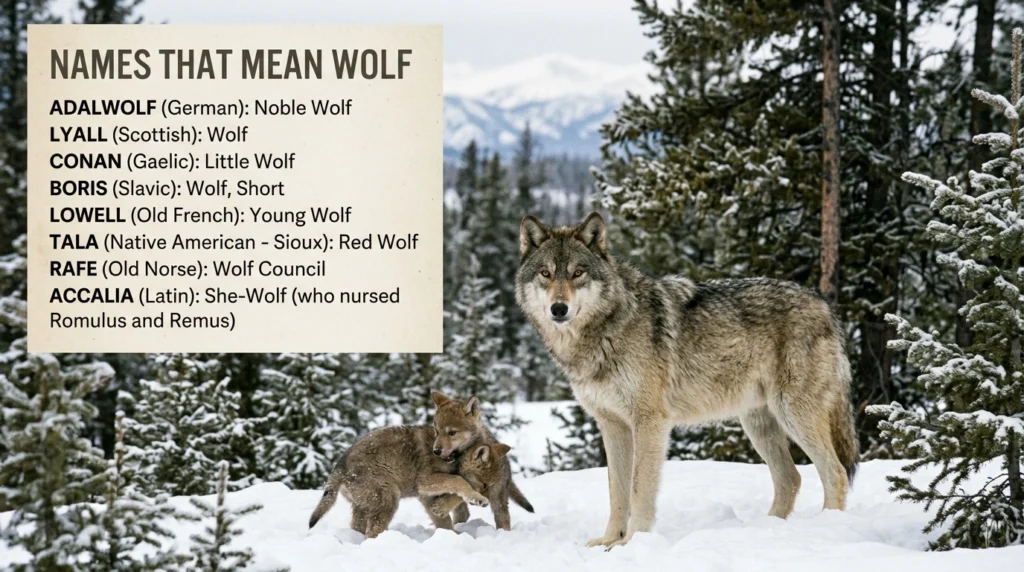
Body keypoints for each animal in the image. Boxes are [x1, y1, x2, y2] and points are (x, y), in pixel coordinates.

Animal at [515, 212, 858, 549]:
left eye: (578, 273)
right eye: (545, 273)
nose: (559, 308)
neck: (604, 331)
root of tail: (825, 306)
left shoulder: (649, 421)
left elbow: (639, 489)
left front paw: (633, 543)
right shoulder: (612, 424)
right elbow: (617, 492)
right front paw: (609, 541)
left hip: (793, 415)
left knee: (836, 473)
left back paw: (826, 527)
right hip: (758, 424)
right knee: (791, 478)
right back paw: (765, 529)